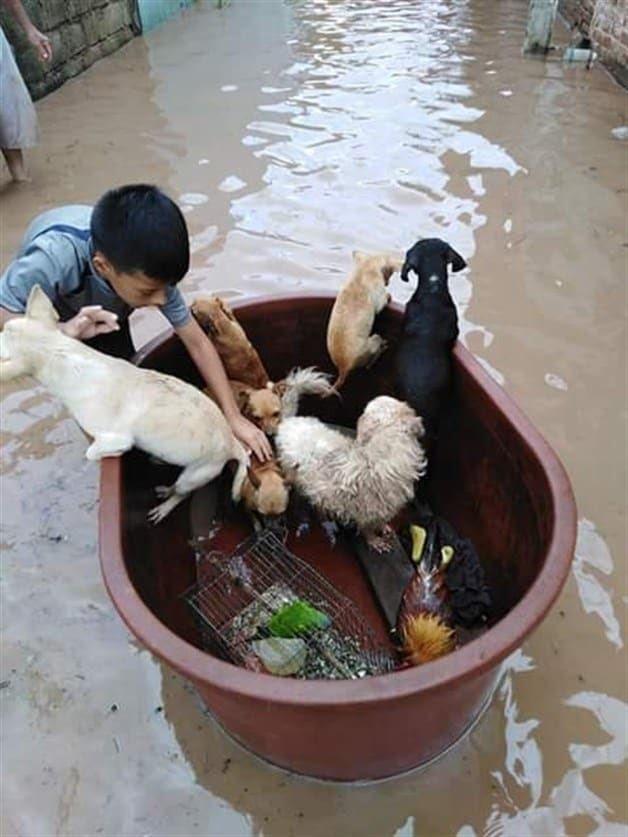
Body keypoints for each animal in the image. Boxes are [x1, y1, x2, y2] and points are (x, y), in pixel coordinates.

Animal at [0, 288, 250, 524]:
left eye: (2, 338)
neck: (59, 353)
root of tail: (234, 444)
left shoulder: (115, 438)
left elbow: (92, 452)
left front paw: (109, 454)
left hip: (194, 476)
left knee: (181, 493)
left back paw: (164, 505)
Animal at [276, 396, 426, 544]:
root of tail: (289, 422)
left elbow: (380, 522)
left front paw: (383, 527)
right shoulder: (368, 511)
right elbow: (367, 529)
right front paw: (374, 540)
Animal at [326, 250, 404, 390]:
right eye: (389, 273)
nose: (387, 283)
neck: (365, 268)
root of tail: (343, 368)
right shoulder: (380, 299)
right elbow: (383, 300)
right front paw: (389, 295)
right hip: (374, 340)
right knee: (371, 361)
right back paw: (382, 348)